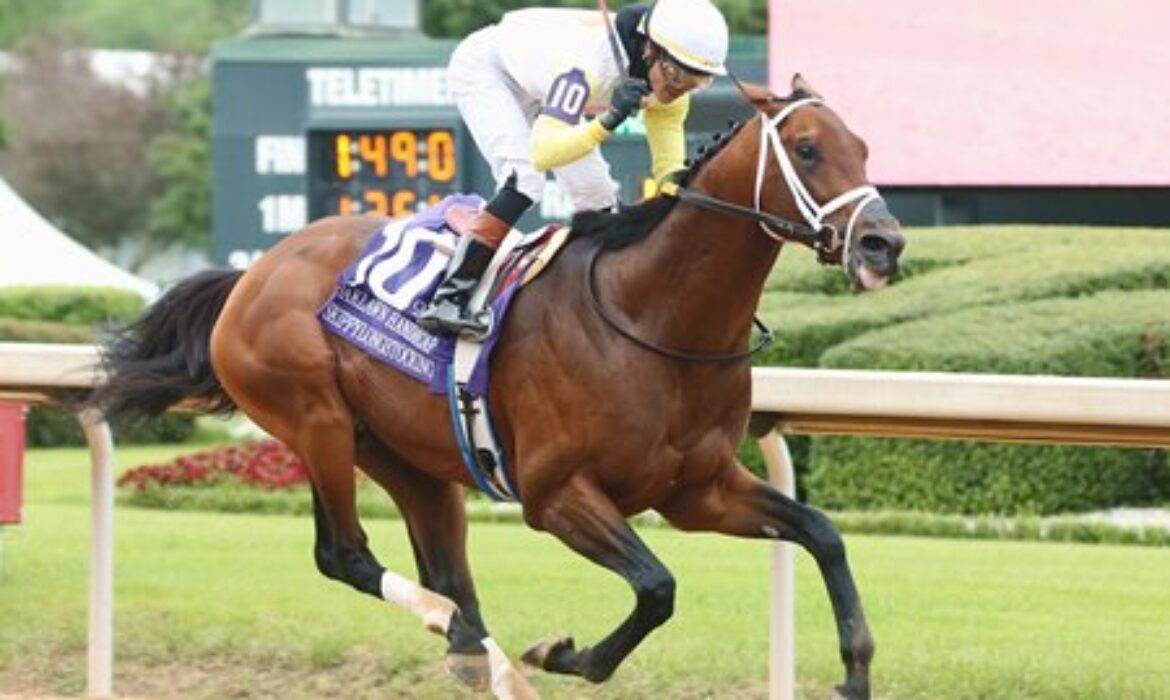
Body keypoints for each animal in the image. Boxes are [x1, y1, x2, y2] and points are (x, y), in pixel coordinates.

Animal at [91, 74, 903, 697]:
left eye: (864, 147)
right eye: (807, 149)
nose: (883, 243)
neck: (653, 319)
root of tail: (254, 272)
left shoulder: (697, 490)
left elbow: (822, 532)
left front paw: (856, 670)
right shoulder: (556, 494)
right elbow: (657, 587)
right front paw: (565, 654)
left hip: (406, 456)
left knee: (446, 570)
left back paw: (476, 652)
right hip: (314, 418)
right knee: (345, 555)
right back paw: (466, 639)